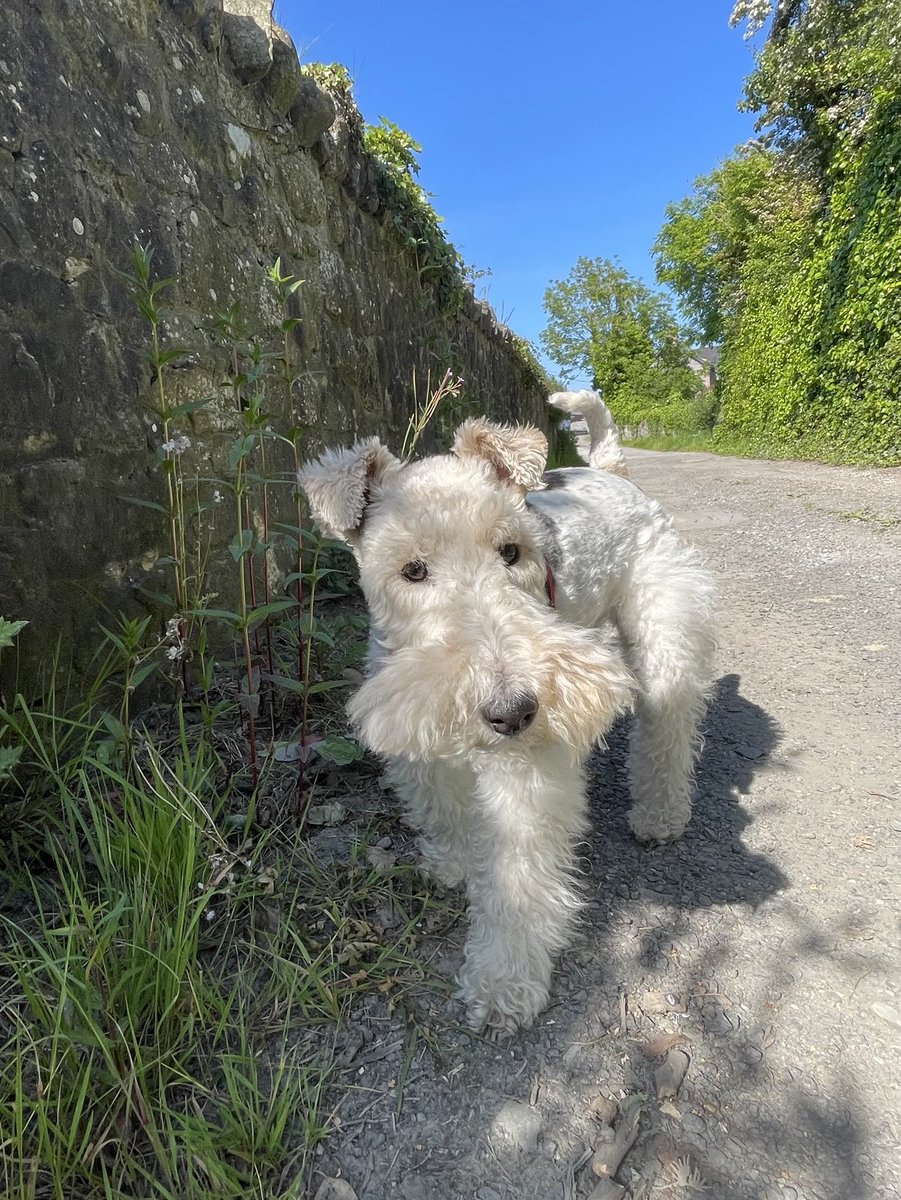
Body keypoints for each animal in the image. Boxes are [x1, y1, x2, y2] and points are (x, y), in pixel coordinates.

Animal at [299, 393, 715, 1032]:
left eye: (511, 552)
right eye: (412, 570)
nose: (513, 711)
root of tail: (612, 470)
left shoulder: (526, 770)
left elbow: (517, 879)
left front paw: (503, 983)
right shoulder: (418, 725)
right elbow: (444, 809)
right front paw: (454, 862)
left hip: (665, 629)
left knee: (667, 729)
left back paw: (659, 816)